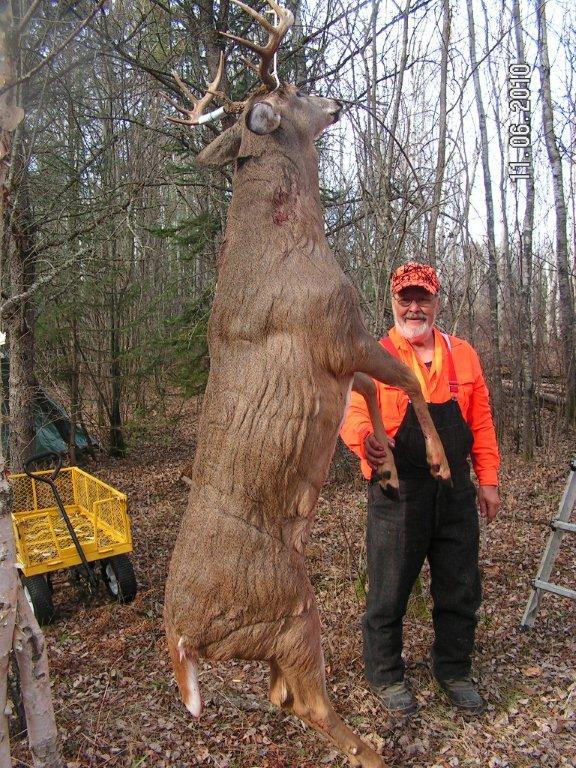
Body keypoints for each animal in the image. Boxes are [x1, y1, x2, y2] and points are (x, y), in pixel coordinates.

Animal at [162, 3, 450, 764]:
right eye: (289, 90)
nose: (338, 101)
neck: (293, 242)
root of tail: (181, 638)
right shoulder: (339, 329)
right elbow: (410, 379)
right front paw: (437, 462)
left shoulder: (340, 358)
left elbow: (375, 395)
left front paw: (389, 469)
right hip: (291, 612)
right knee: (305, 698)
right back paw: (375, 751)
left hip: (273, 632)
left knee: (284, 698)